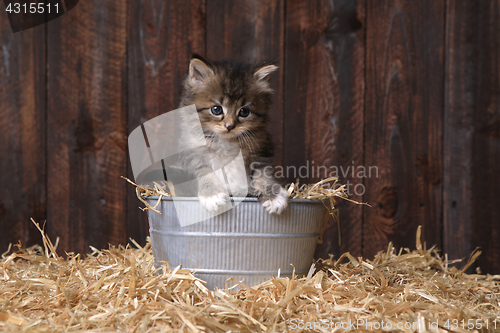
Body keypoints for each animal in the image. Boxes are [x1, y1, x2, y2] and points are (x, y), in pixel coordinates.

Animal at [178, 55, 288, 214]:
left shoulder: (262, 150)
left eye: (244, 112)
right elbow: (204, 170)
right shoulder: (189, 153)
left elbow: (263, 173)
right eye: (216, 109)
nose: (229, 126)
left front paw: (274, 196)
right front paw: (212, 195)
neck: (226, 142)